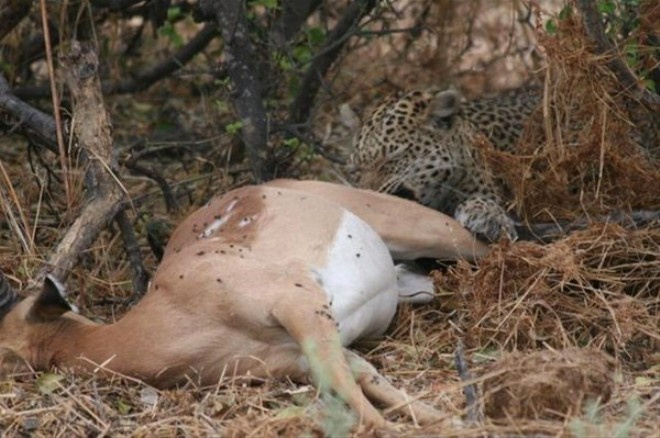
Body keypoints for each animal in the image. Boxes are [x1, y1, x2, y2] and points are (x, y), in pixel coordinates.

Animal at [0, 178, 484, 428]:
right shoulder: (300, 356)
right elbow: (366, 381)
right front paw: (457, 424)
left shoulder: (297, 300)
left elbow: (357, 401)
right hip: (412, 283)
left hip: (429, 230)